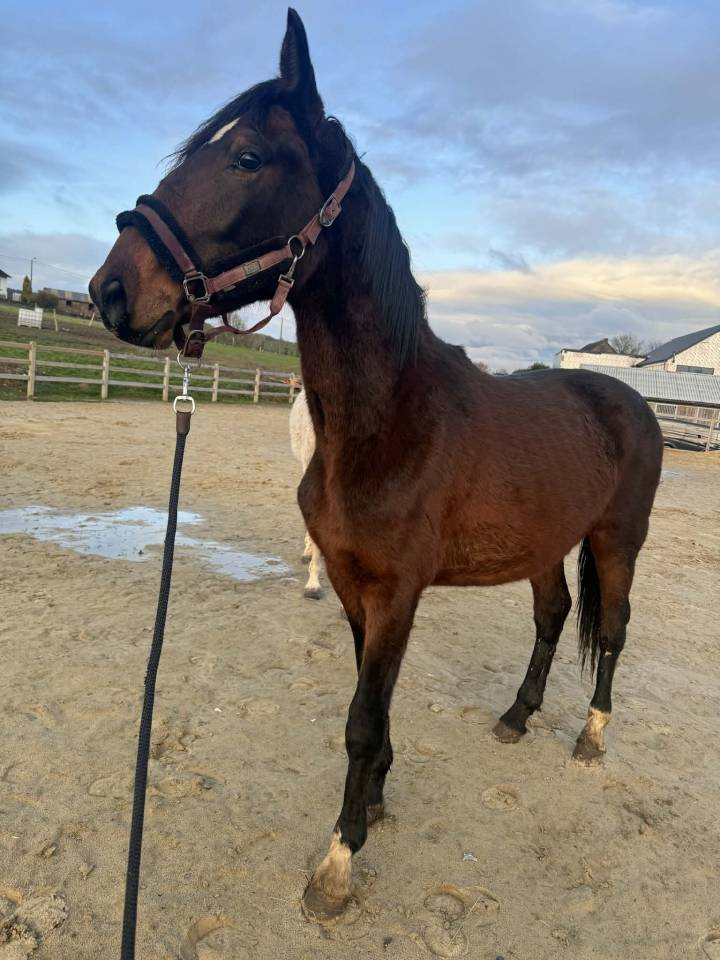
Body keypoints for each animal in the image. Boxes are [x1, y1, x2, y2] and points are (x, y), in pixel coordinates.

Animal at [89, 8, 663, 922]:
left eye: (246, 156)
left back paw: (590, 735)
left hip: (618, 538)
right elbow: (373, 703)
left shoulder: (397, 592)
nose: (111, 290)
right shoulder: (356, 586)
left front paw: (337, 860)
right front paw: (377, 804)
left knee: (610, 629)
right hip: (544, 546)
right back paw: (517, 715)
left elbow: (363, 714)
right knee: (551, 618)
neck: (389, 422)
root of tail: (628, 398)